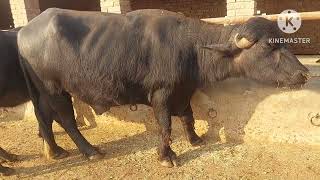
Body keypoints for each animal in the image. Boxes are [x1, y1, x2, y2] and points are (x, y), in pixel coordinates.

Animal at [16, 7, 308, 167]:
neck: (191, 49)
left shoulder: (184, 91)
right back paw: (90, 152)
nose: (304, 73)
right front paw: (166, 156)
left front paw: (195, 139)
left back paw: (54, 151)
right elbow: (166, 126)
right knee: (66, 119)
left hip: (41, 92)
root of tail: (23, 32)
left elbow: (188, 117)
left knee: (45, 118)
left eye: (284, 41)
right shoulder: (161, 94)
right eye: (269, 46)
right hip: (54, 88)